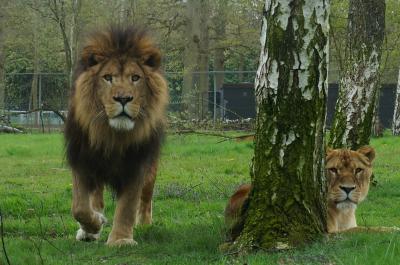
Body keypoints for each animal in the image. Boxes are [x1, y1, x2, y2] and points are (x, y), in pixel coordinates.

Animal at [65, 25, 168, 245]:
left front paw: (121, 240)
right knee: (96, 197)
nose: (123, 98)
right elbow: (79, 207)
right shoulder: (81, 159)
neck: (112, 135)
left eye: (135, 78)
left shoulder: (136, 164)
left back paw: (144, 223)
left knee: (146, 196)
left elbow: (128, 205)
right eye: (108, 77)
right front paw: (93, 226)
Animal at [225, 145, 376, 236]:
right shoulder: (329, 232)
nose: (348, 188)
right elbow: (364, 230)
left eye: (358, 170)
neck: (343, 214)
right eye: (333, 170)